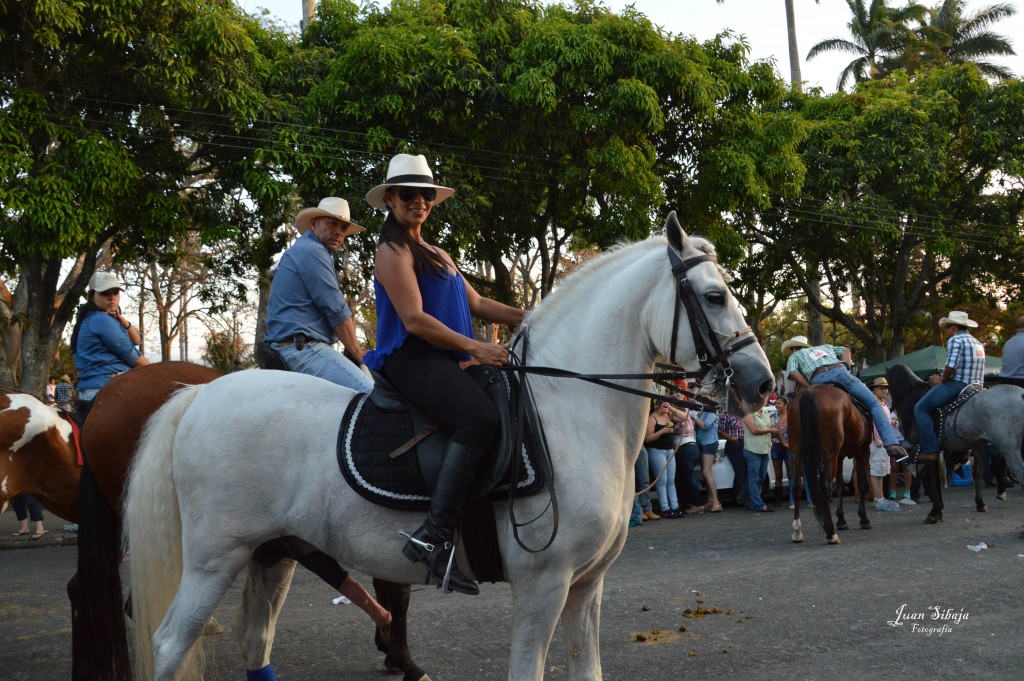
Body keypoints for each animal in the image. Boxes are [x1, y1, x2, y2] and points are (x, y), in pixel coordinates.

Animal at [123, 214, 770, 679]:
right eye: (714, 297)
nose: (761, 384)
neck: (569, 409)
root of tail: (199, 395)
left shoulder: (587, 586)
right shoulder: (544, 584)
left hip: (271, 553)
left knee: (255, 640)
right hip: (215, 557)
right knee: (169, 643)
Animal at [782, 385, 872, 544]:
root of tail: (809, 393)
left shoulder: (841, 456)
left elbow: (841, 484)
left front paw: (841, 520)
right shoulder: (863, 451)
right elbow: (861, 483)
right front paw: (863, 519)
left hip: (797, 451)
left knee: (796, 486)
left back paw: (797, 532)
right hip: (830, 454)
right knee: (826, 487)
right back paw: (831, 534)